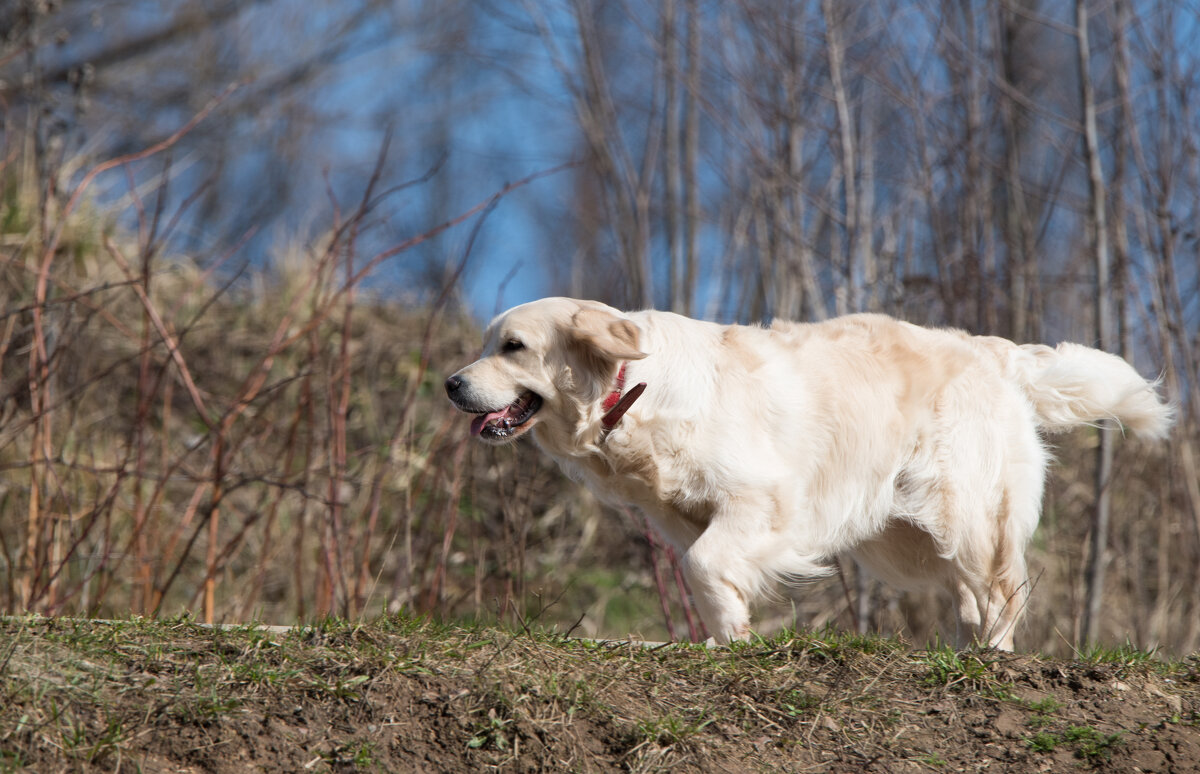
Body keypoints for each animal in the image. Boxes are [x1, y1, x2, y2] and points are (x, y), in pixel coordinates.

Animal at [448, 296, 1171, 648]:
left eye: (513, 347)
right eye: (485, 344)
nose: (452, 383)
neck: (632, 387)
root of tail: (998, 352)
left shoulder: (765, 501)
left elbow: (705, 565)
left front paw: (733, 637)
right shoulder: (686, 520)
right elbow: (706, 573)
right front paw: (727, 637)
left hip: (965, 513)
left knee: (1001, 591)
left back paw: (993, 657)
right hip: (905, 540)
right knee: (971, 595)